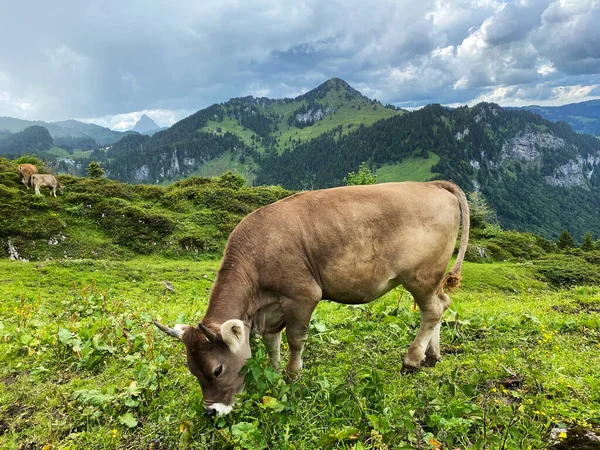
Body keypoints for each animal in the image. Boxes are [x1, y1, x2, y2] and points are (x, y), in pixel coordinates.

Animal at [154, 181, 468, 416]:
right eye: (191, 369)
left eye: (217, 370)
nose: (211, 411)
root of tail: (431, 184)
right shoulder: (271, 308)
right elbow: (271, 343)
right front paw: (275, 373)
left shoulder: (302, 295)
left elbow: (295, 340)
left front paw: (292, 377)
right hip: (431, 280)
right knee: (441, 305)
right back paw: (432, 355)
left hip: (420, 275)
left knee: (432, 310)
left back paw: (411, 361)